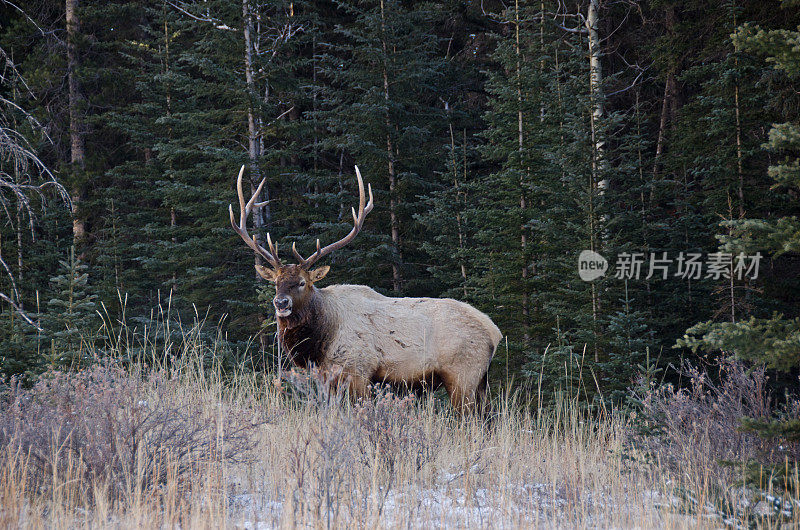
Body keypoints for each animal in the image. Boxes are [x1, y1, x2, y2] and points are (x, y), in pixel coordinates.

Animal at [228, 164, 500, 408]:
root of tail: (494, 332)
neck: (321, 341)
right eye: (276, 282)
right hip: (481, 382)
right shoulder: (327, 379)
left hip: (463, 375)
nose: (281, 303)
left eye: (302, 283)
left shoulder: (358, 370)